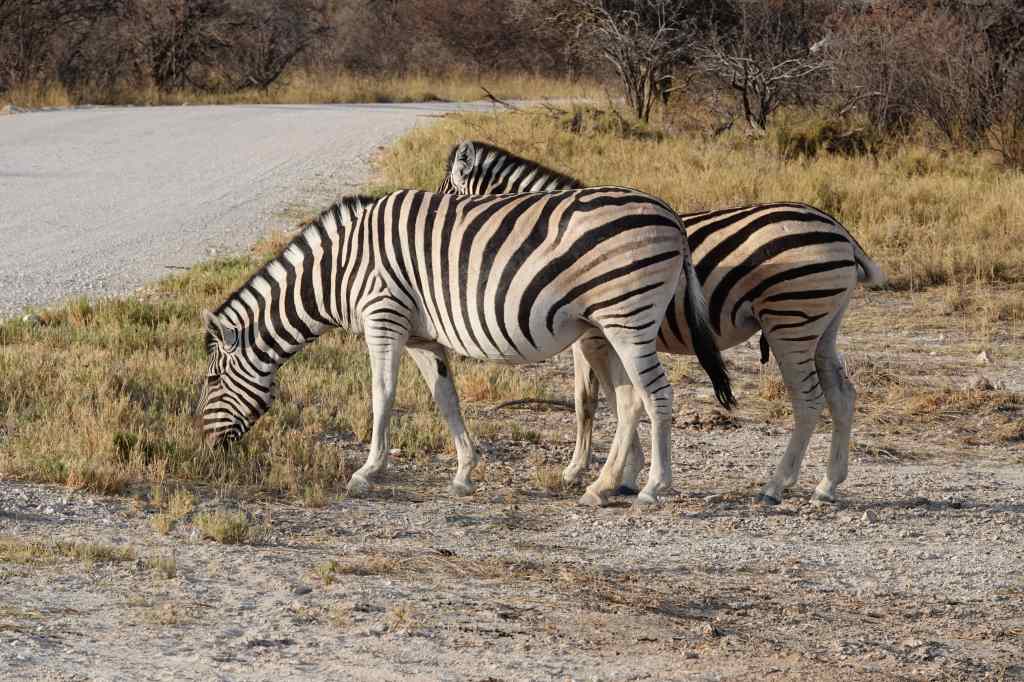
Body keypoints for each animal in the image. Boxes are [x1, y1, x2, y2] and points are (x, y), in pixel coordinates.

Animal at [196, 187, 734, 507]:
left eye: (212, 379)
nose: (205, 447)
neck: (342, 269)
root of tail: (670, 216)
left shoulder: (383, 317)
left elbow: (382, 395)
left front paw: (368, 471)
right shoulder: (421, 336)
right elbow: (445, 399)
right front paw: (463, 472)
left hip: (629, 317)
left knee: (657, 396)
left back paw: (653, 488)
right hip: (608, 323)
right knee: (628, 400)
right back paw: (602, 486)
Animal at [439, 140, 886, 505]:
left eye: (447, 195)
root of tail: (841, 232)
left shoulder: (590, 337)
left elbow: (592, 401)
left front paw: (591, 472)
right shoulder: (599, 335)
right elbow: (610, 398)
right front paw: (624, 474)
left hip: (790, 320)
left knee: (808, 401)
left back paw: (776, 485)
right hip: (822, 326)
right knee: (842, 395)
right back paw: (827, 485)